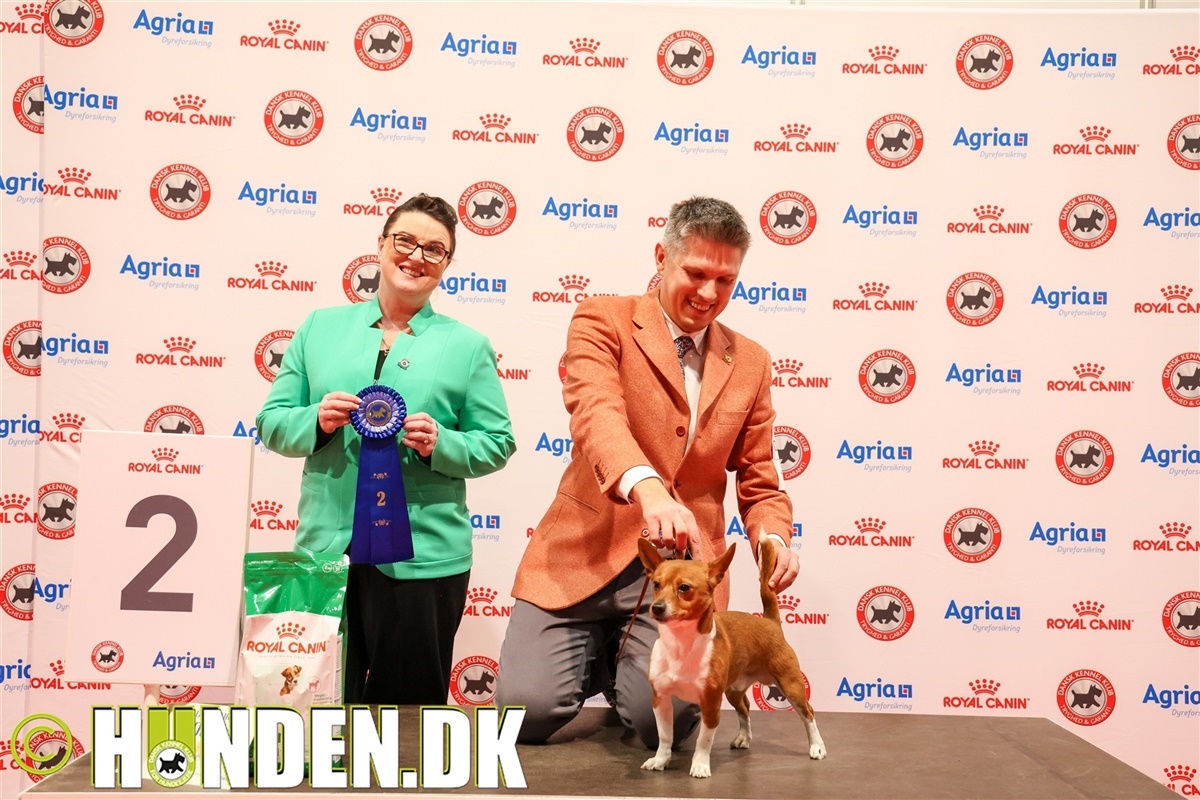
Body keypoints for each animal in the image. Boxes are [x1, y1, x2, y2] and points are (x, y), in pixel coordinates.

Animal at [637, 538, 826, 778]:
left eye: (684, 588)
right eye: (656, 584)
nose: (657, 607)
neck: (681, 643)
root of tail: (770, 621)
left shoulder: (710, 703)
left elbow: (703, 740)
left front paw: (700, 765)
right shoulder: (661, 700)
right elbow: (664, 737)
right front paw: (660, 760)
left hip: (791, 685)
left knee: (808, 713)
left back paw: (817, 747)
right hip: (733, 691)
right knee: (744, 708)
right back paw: (744, 737)